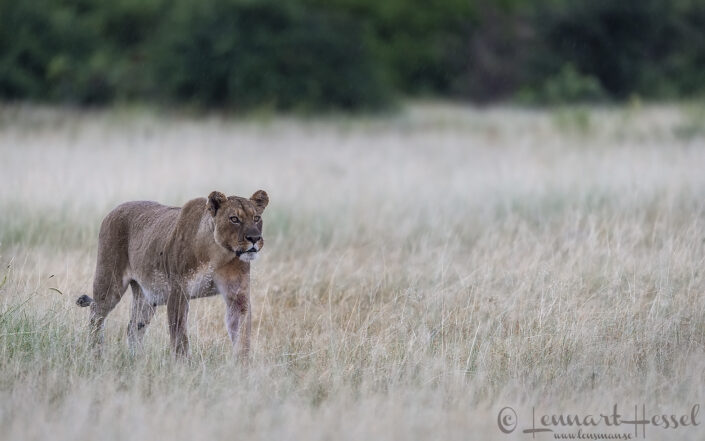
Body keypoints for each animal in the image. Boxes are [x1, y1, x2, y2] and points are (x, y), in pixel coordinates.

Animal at [76, 190, 269, 359]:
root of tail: (114, 210)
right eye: (234, 219)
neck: (219, 254)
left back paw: (137, 360)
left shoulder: (237, 296)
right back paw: (95, 353)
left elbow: (242, 335)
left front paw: (241, 368)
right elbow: (179, 337)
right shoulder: (178, 291)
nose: (254, 238)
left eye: (256, 218)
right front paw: (183, 367)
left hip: (147, 295)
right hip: (109, 282)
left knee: (133, 327)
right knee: (96, 314)